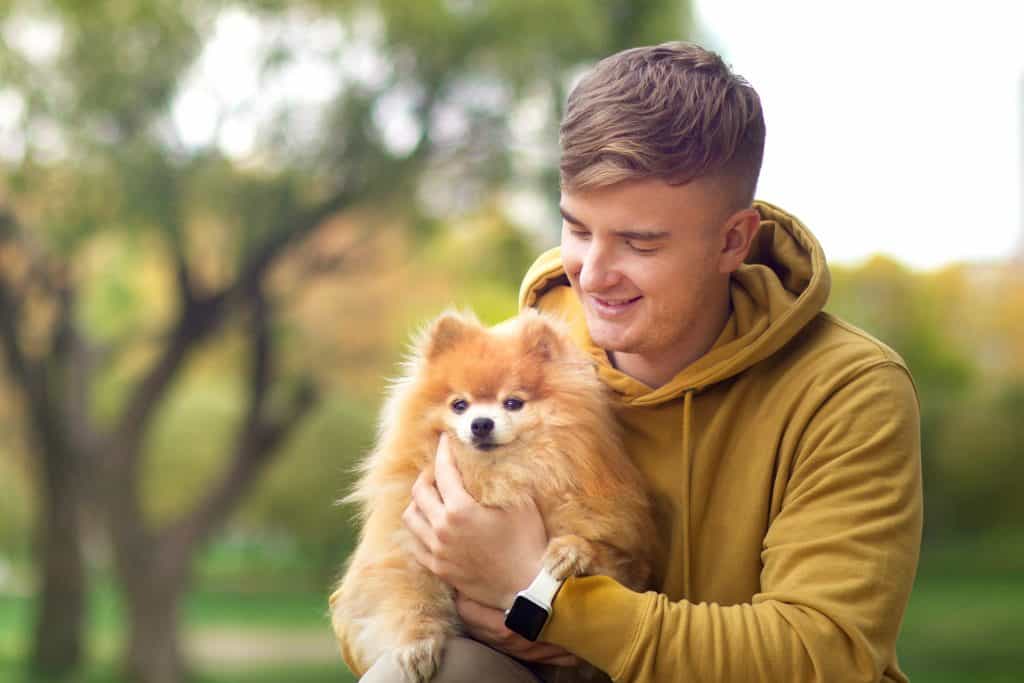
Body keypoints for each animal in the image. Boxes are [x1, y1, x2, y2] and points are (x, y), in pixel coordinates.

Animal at [331, 311, 659, 683]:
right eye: (459, 405)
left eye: (513, 403)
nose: (481, 423)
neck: (495, 477)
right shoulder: (403, 549)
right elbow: (410, 595)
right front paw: (416, 645)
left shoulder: (627, 557)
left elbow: (602, 551)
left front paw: (571, 551)